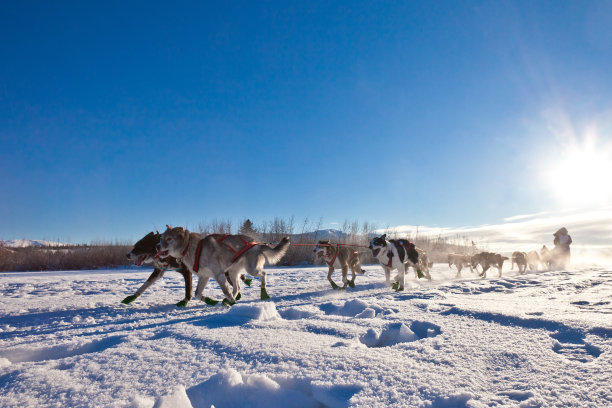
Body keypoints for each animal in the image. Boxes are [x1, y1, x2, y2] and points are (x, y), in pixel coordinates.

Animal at [158, 226, 292, 306]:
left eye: (169, 239)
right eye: (161, 238)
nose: (157, 246)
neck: (193, 248)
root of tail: (257, 244)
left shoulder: (219, 275)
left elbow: (226, 291)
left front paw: (231, 302)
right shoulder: (204, 276)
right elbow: (197, 294)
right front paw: (210, 301)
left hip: (251, 269)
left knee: (263, 274)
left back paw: (262, 292)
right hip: (233, 272)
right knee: (237, 288)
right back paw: (229, 300)